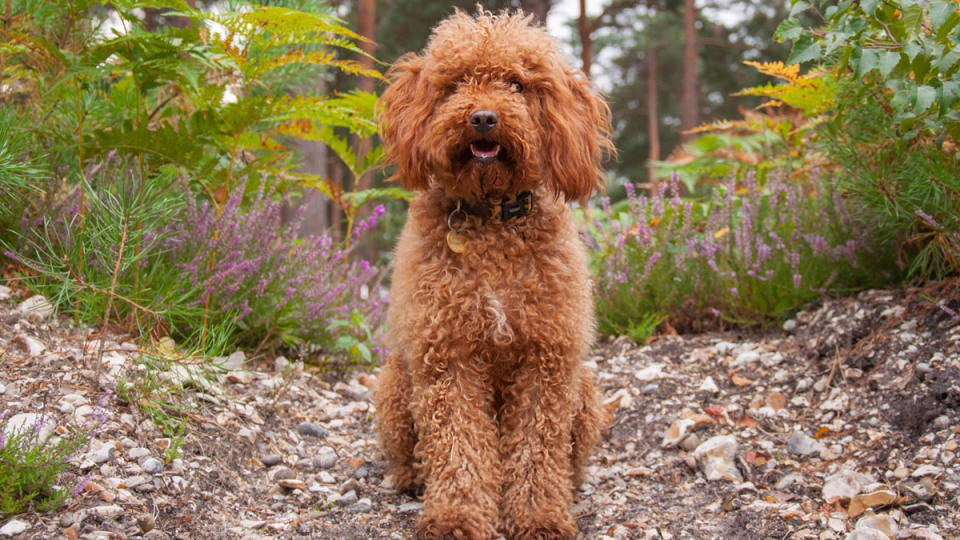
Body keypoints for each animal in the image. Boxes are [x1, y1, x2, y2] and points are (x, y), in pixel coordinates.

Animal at [376, 9, 616, 540]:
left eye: (517, 85)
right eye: (455, 84)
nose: (483, 117)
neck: (490, 218)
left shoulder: (546, 359)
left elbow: (535, 451)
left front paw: (540, 517)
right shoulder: (448, 357)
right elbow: (458, 446)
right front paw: (455, 517)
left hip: (585, 391)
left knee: (569, 460)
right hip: (396, 384)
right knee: (410, 454)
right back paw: (412, 478)